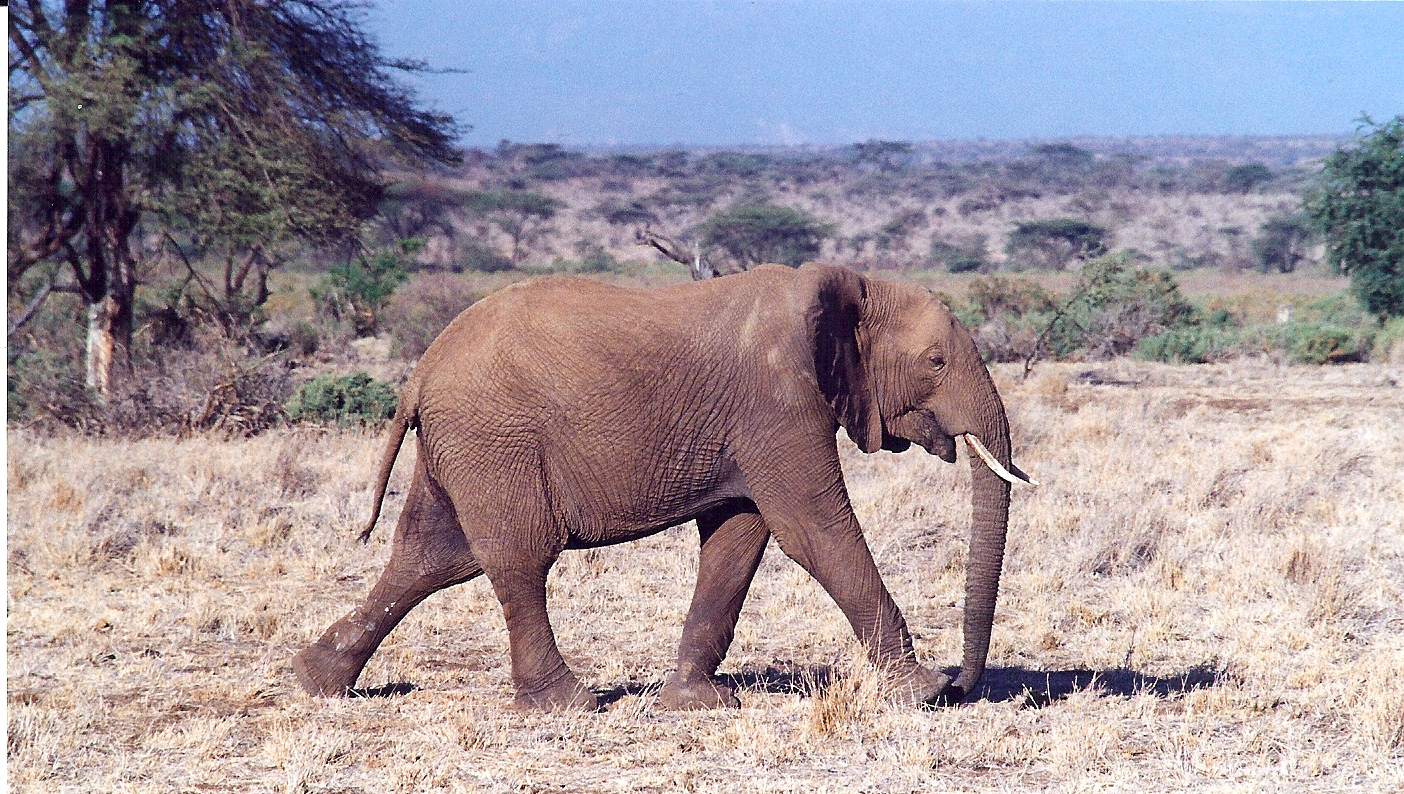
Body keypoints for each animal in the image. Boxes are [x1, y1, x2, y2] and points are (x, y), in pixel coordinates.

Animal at [292, 262, 1035, 710]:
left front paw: (697, 703)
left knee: (432, 557)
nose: (966, 683)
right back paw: (571, 705)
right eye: (935, 362)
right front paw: (921, 692)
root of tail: (420, 371)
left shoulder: (754, 427)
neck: (846, 286)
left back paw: (317, 681)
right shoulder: (778, 407)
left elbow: (739, 538)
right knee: (518, 560)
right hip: (495, 440)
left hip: (461, 446)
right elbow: (814, 531)